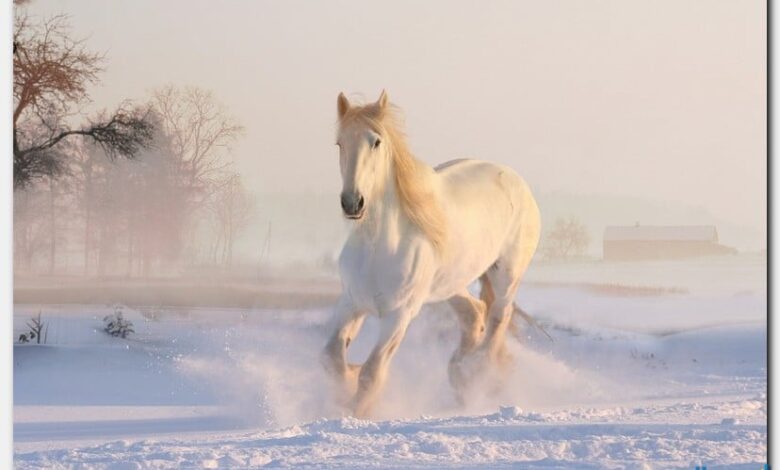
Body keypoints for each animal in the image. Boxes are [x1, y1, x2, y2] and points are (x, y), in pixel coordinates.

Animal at [322, 90, 544, 416]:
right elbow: (332, 358)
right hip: (449, 284)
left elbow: (372, 373)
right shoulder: (351, 303)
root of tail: (515, 179)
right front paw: (347, 383)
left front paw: (356, 411)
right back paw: (460, 374)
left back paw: (477, 375)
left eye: (376, 141)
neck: (379, 247)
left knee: (498, 319)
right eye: (340, 143)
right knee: (474, 314)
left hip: (507, 275)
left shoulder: (399, 315)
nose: (352, 203)